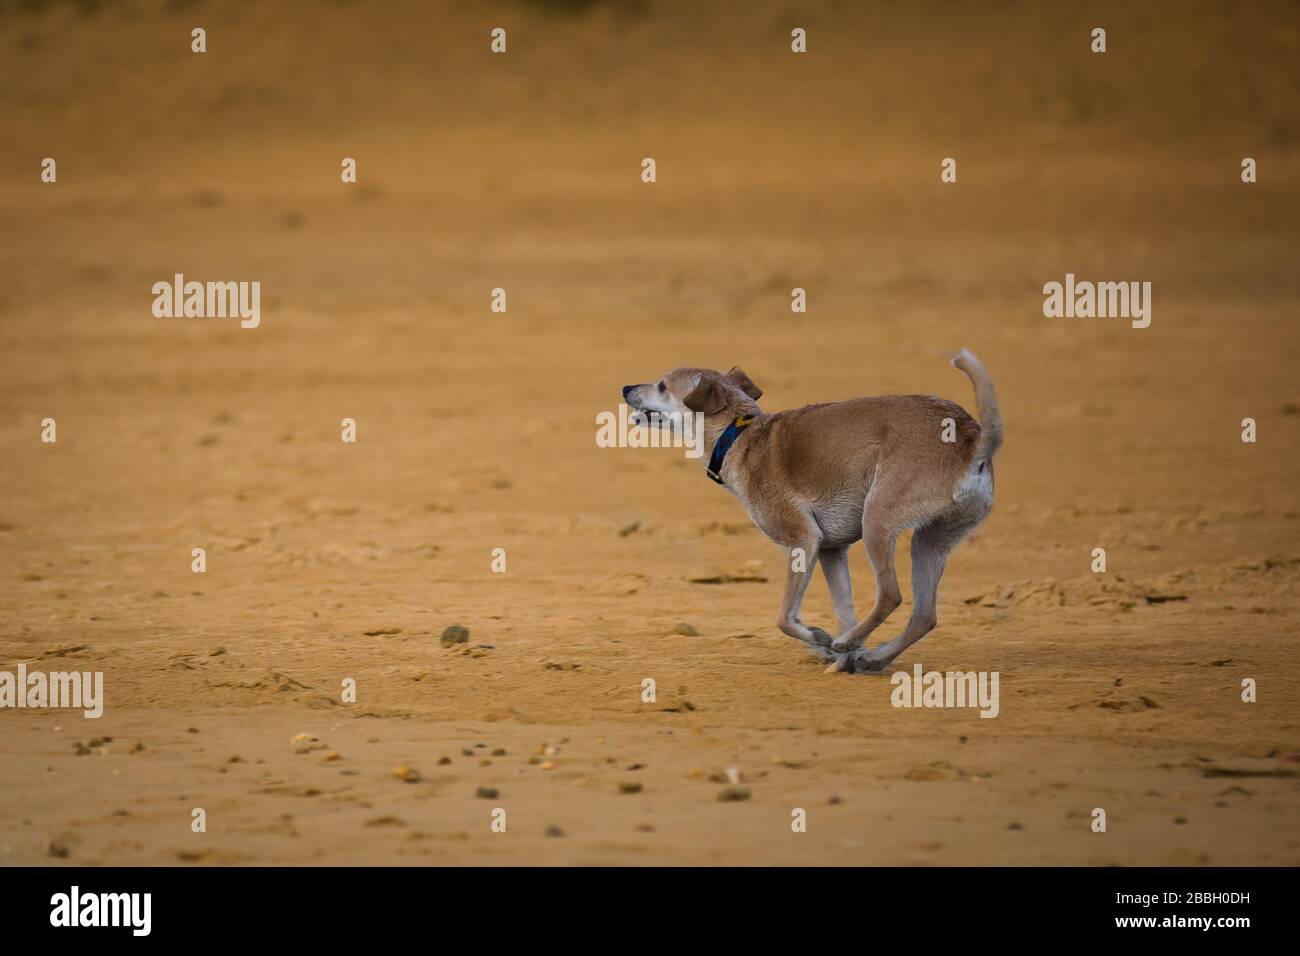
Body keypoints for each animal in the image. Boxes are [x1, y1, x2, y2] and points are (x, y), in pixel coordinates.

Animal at [624, 348, 998, 671]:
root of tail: (972, 439)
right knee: (924, 615)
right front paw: (840, 659)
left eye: (662, 385)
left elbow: (785, 619)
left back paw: (853, 646)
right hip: (929, 542)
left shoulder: (804, 541)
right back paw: (871, 655)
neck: (740, 434)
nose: (626, 387)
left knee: (890, 595)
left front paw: (823, 640)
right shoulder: (832, 550)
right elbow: (843, 610)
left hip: (877, 521)